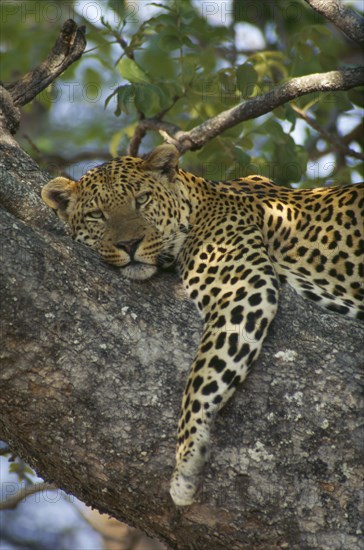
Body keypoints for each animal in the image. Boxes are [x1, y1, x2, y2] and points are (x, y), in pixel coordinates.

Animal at [41, 144, 364, 506]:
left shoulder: (242, 289)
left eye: (142, 199)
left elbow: (201, 380)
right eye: (97, 215)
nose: (129, 244)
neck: (198, 201)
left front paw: (186, 462)